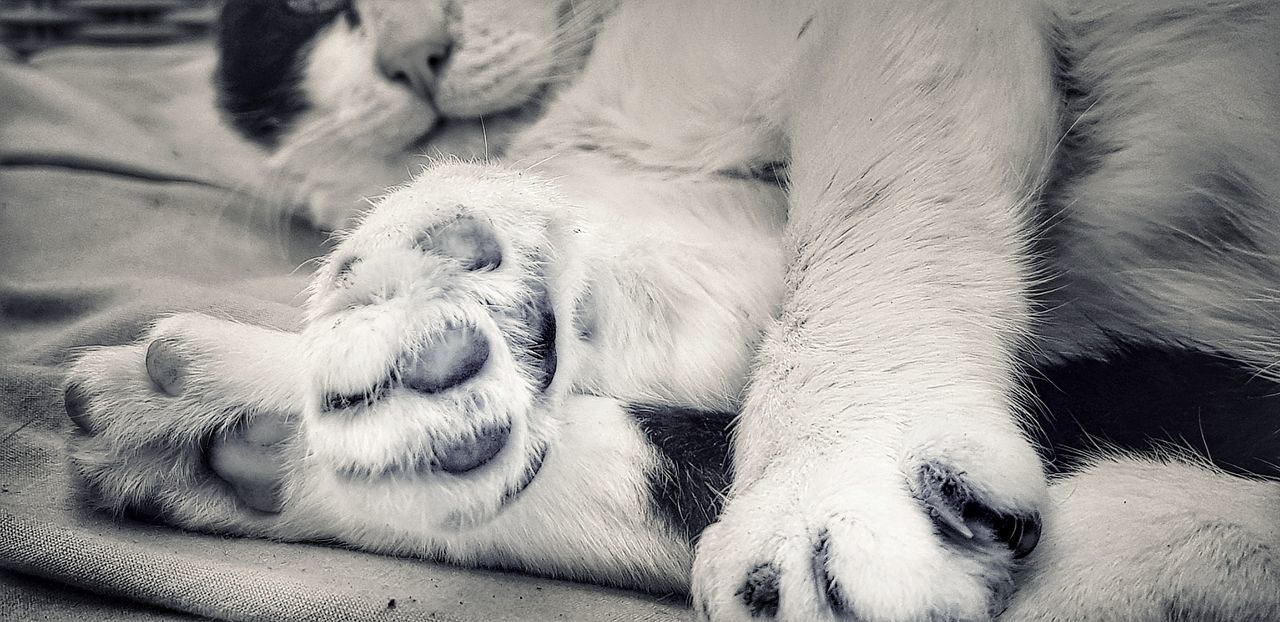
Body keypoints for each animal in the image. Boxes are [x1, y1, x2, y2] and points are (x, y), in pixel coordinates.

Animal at [64, 0, 1280, 619]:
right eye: (313, 9)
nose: (415, 52)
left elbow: (880, 185)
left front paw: (839, 470)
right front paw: (460, 301)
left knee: (1130, 520)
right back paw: (269, 436)